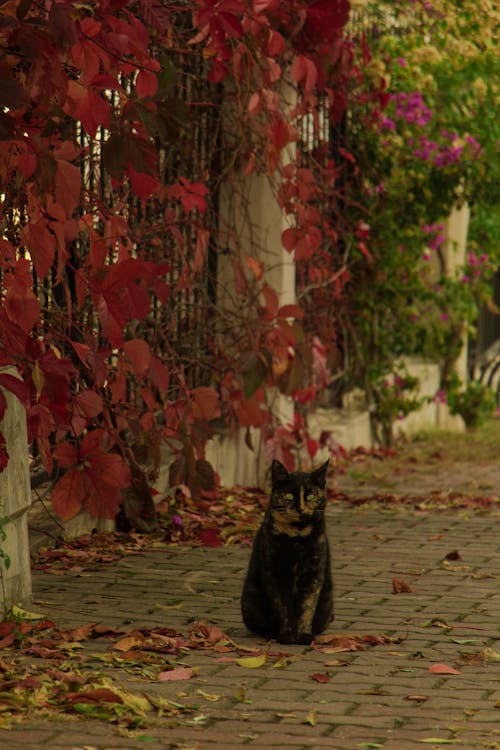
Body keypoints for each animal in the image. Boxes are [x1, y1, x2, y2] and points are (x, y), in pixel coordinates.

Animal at [241, 458, 334, 648]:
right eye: (289, 496)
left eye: (310, 496)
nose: (300, 508)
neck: (296, 535)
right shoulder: (275, 573)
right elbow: (283, 606)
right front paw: (287, 636)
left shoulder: (313, 573)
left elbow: (307, 606)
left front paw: (304, 635)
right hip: (250, 600)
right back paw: (272, 634)